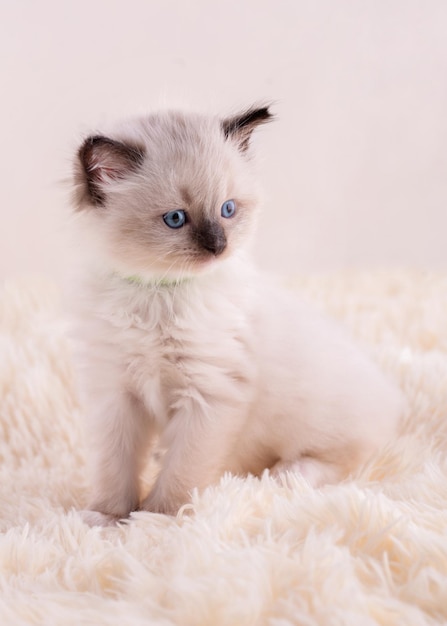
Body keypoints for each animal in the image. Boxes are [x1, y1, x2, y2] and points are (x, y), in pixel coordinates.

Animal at [70, 105, 406, 524]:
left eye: (227, 210)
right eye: (175, 219)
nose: (219, 246)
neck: (159, 293)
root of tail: (391, 397)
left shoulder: (209, 397)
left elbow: (180, 474)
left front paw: (157, 521)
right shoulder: (116, 394)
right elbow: (114, 468)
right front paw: (107, 518)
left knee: (343, 460)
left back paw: (285, 474)